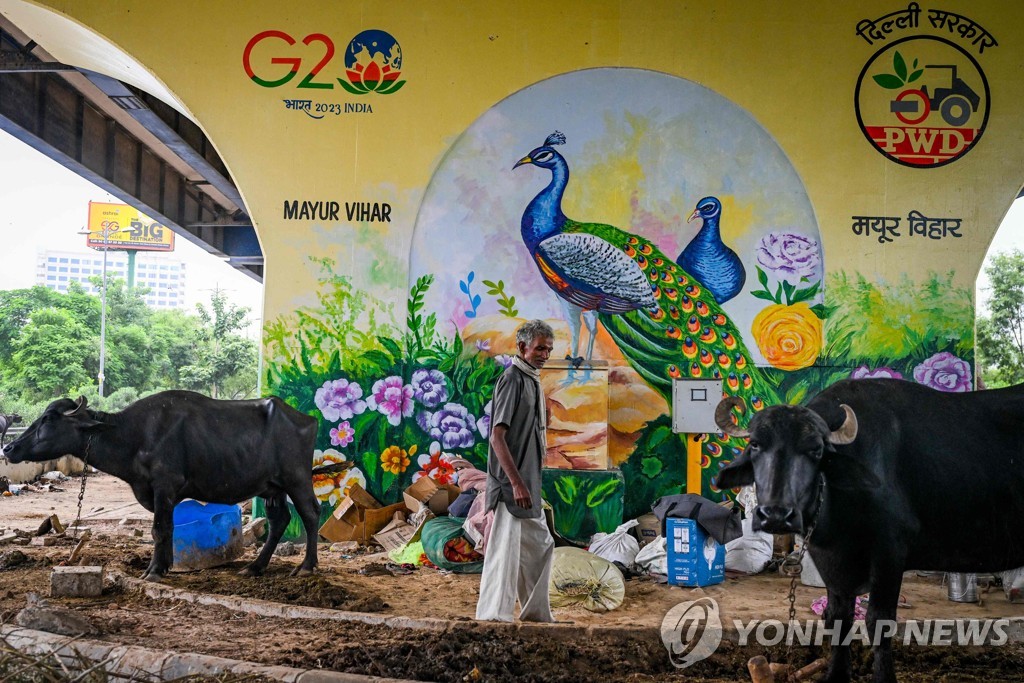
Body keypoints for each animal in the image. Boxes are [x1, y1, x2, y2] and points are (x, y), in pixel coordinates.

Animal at [2, 389, 319, 581]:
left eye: (48, 418)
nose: (9, 447)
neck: (135, 435)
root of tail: (306, 419)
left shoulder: (164, 486)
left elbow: (159, 529)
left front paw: (154, 570)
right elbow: (168, 528)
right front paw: (166, 566)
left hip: (297, 479)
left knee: (310, 513)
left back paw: (307, 566)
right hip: (272, 487)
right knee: (280, 520)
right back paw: (255, 566)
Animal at [716, 378, 1024, 683]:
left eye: (816, 450)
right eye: (755, 445)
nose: (776, 515)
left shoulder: (889, 555)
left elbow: (879, 622)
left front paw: (883, 677)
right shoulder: (833, 563)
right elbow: (837, 618)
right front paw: (836, 674)